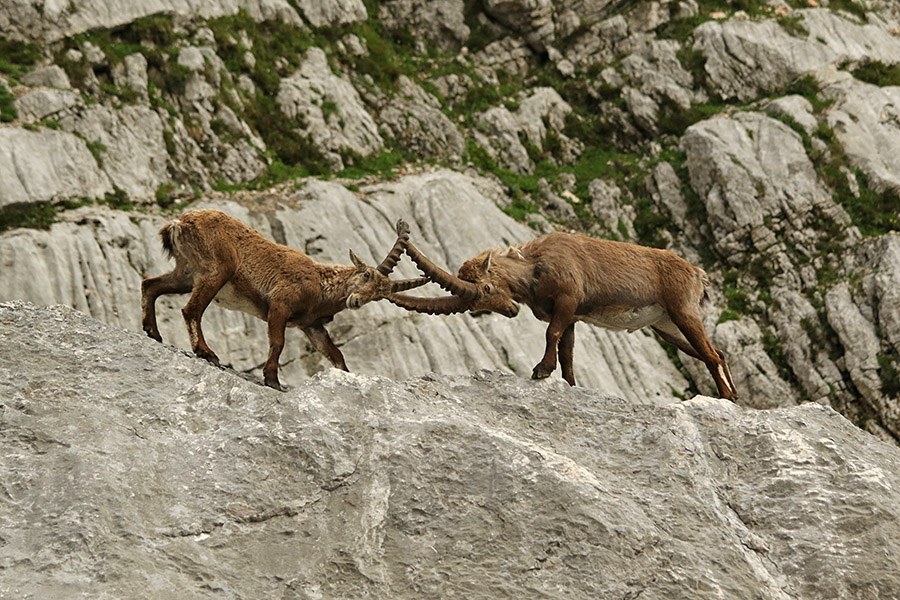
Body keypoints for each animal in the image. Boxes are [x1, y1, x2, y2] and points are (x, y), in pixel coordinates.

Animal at [141, 209, 426, 390]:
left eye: (379, 295)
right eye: (366, 274)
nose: (355, 301)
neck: (320, 284)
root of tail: (179, 222)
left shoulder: (311, 325)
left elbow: (335, 354)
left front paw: (346, 378)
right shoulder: (280, 304)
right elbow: (278, 342)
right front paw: (272, 380)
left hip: (187, 272)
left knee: (150, 285)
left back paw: (153, 332)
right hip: (216, 271)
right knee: (191, 309)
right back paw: (206, 352)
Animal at [388, 228, 738, 400]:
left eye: (486, 287)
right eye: (475, 304)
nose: (511, 310)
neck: (535, 267)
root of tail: (696, 272)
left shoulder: (568, 299)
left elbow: (552, 334)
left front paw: (541, 370)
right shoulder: (571, 316)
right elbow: (567, 351)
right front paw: (569, 385)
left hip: (682, 310)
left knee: (710, 355)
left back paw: (724, 398)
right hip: (666, 325)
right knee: (716, 352)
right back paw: (732, 394)